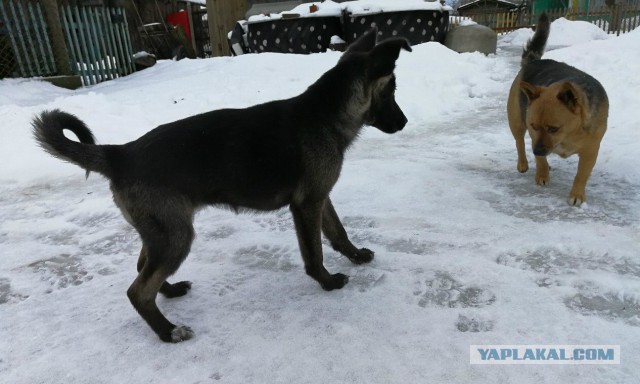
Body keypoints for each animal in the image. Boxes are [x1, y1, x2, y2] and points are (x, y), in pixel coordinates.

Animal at [32, 29, 410, 342]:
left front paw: (356, 255)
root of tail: (120, 154)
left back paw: (170, 292)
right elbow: (314, 252)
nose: (404, 122)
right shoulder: (307, 205)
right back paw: (168, 331)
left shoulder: (319, 197)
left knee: (143, 269)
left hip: (162, 231)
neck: (326, 113)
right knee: (137, 291)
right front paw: (328, 282)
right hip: (176, 236)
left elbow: (337, 231)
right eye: (391, 90)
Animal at [508, 13, 608, 207]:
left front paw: (577, 194)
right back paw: (524, 162)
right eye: (534, 126)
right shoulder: (534, 135)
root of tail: (535, 61)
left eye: (554, 128)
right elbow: (539, 159)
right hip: (516, 121)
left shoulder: (591, 150)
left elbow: (582, 174)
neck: (571, 132)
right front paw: (542, 174)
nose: (537, 151)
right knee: (519, 142)